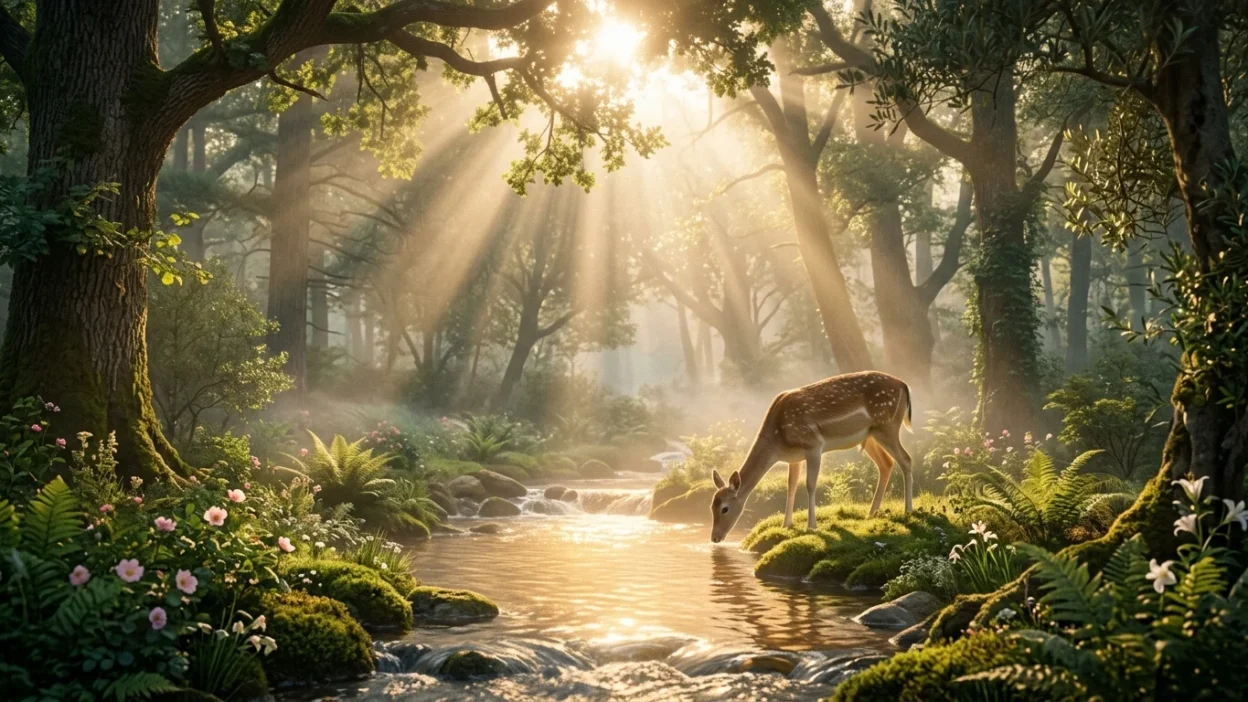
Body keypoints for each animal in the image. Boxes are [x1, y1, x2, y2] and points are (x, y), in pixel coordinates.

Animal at [709, 371, 913, 543]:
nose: (715, 538)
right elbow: (791, 486)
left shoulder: (813, 445)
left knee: (906, 459)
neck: (778, 442)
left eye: (724, 508)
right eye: (711, 506)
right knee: (886, 463)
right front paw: (786, 524)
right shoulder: (795, 457)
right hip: (870, 435)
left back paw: (908, 510)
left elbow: (810, 484)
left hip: (887, 425)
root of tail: (904, 385)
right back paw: (872, 512)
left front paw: (812, 526)